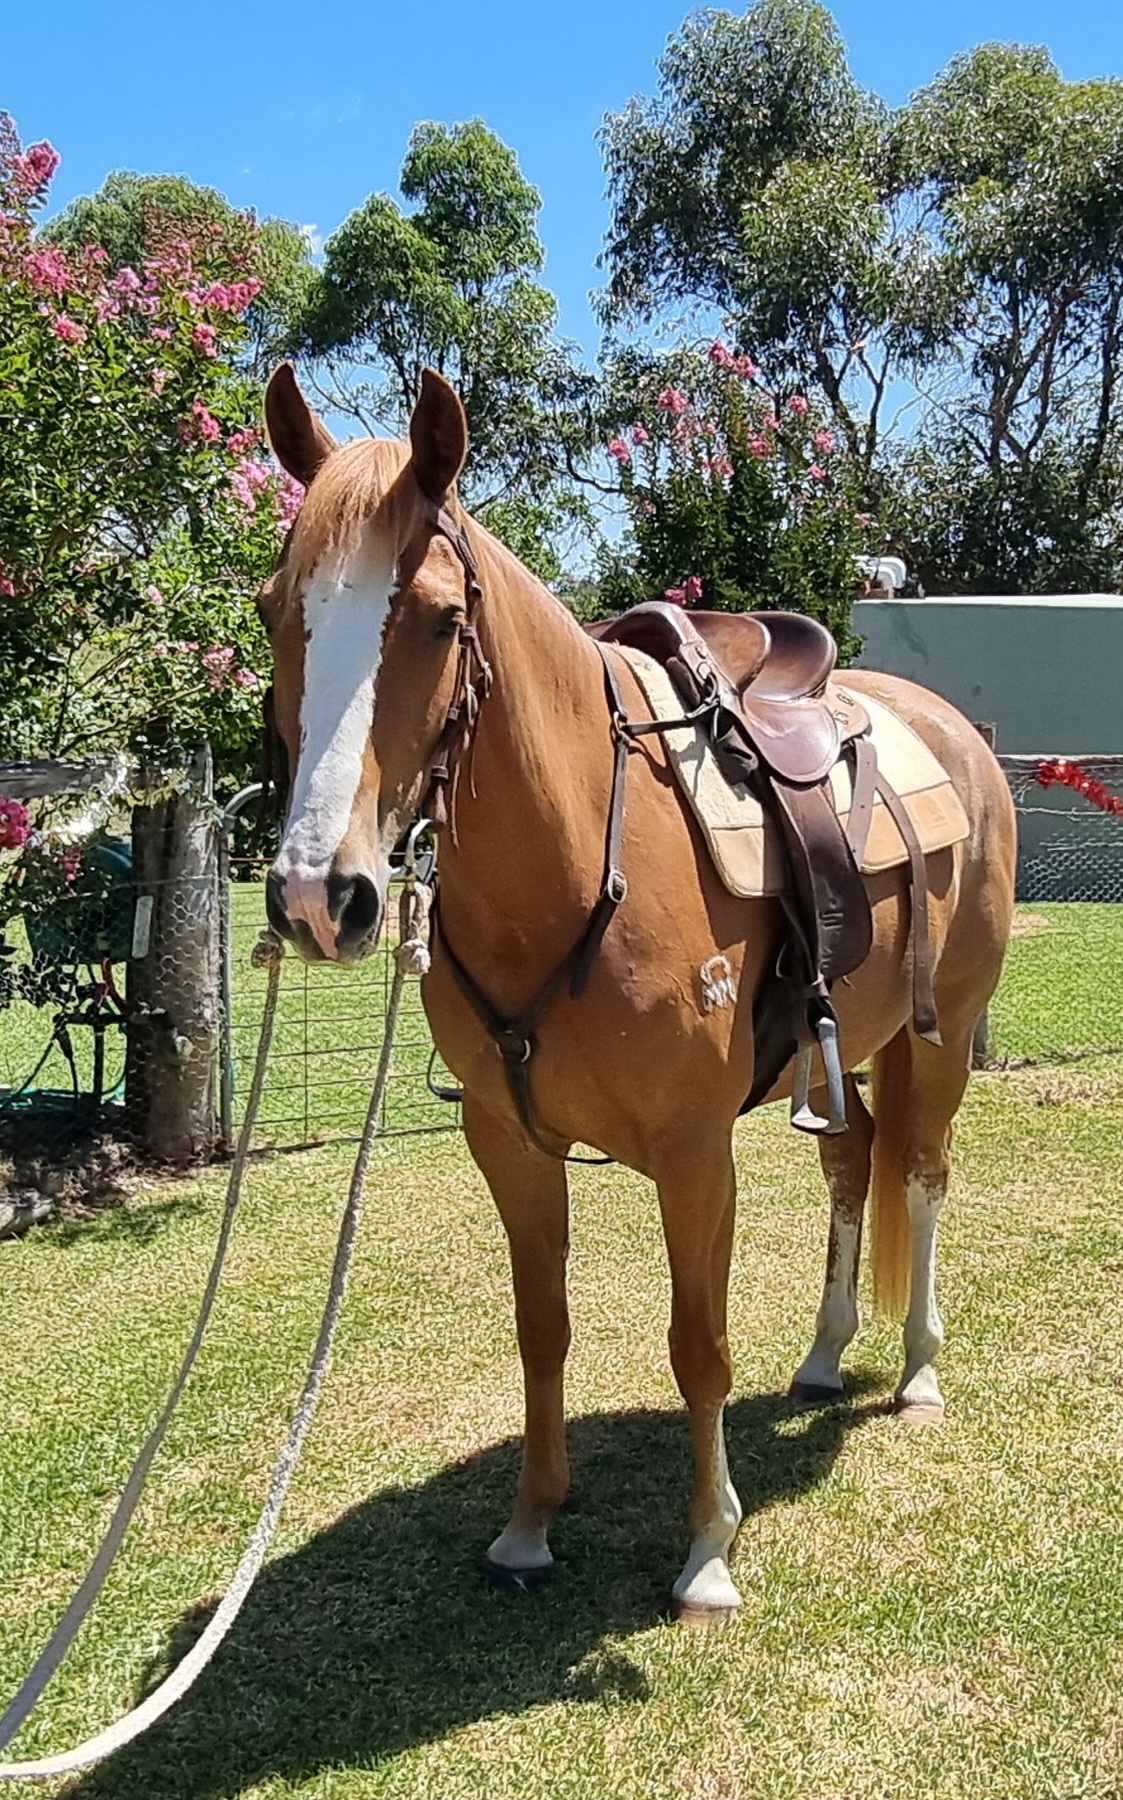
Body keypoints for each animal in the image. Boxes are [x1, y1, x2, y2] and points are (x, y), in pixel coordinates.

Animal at [258, 362, 1017, 1623]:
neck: (574, 865)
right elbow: (541, 1330)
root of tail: (955, 732)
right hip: (842, 1051)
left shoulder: (693, 1153)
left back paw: (915, 1372)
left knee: (921, 1174)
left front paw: (707, 1550)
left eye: (442, 618)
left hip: (942, 1034)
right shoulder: (510, 1146)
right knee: (854, 1165)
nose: (324, 896)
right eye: (277, 609)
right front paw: (528, 1525)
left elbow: (695, 1344)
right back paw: (824, 1356)